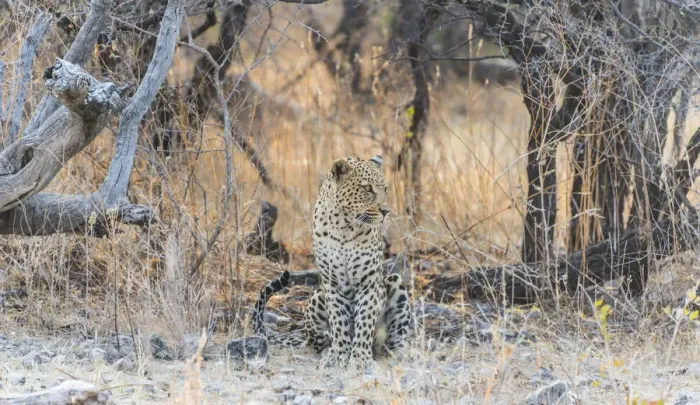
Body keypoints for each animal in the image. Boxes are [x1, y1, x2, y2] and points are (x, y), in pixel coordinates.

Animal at [252, 155, 412, 368]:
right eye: (367, 188)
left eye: (385, 189)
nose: (386, 211)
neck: (345, 226)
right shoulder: (332, 284)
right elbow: (339, 322)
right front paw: (339, 356)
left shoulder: (368, 283)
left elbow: (364, 322)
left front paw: (360, 358)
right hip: (316, 298)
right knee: (318, 341)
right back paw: (329, 350)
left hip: (394, 281)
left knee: (395, 337)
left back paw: (400, 353)